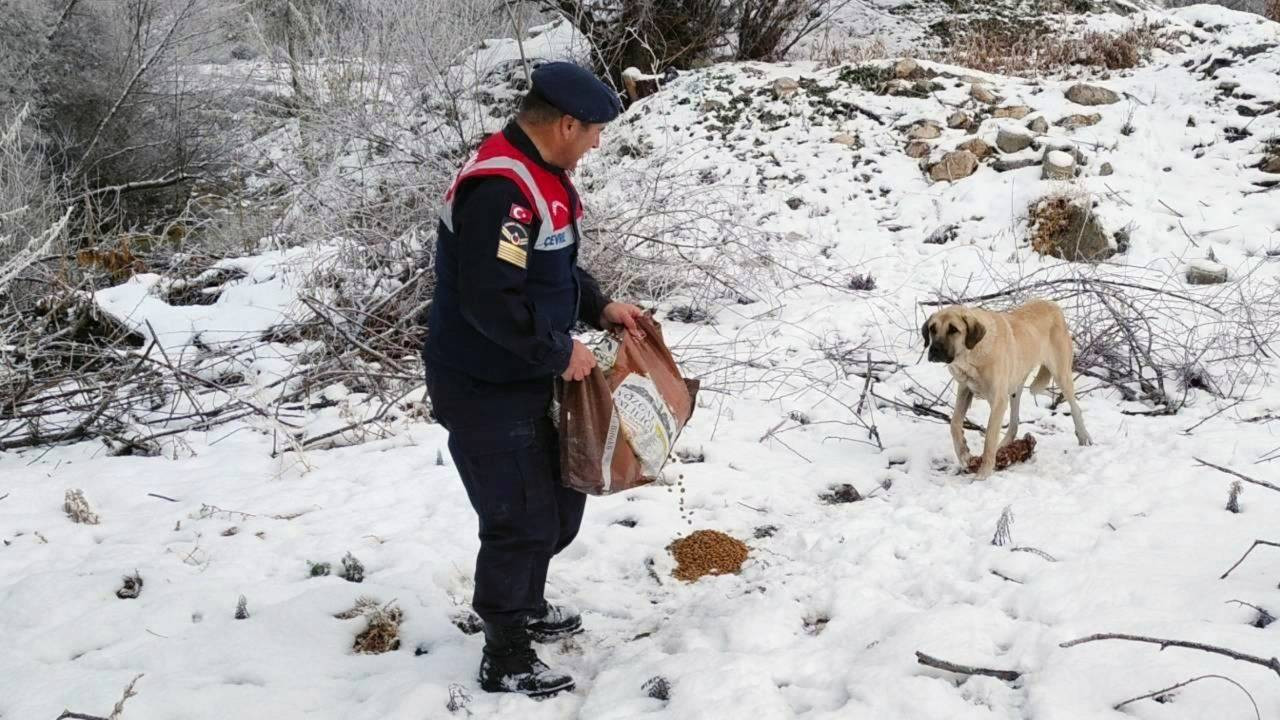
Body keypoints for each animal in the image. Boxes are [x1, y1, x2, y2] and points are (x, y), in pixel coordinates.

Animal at [921, 297, 1090, 476]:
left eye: (953, 329)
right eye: (932, 329)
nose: (934, 350)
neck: (973, 354)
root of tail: (1053, 305)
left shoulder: (998, 401)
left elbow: (989, 436)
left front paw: (984, 473)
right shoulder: (965, 390)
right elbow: (954, 423)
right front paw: (964, 455)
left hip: (1061, 374)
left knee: (1075, 407)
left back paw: (1084, 436)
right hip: (1016, 387)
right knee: (1014, 423)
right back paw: (1003, 446)